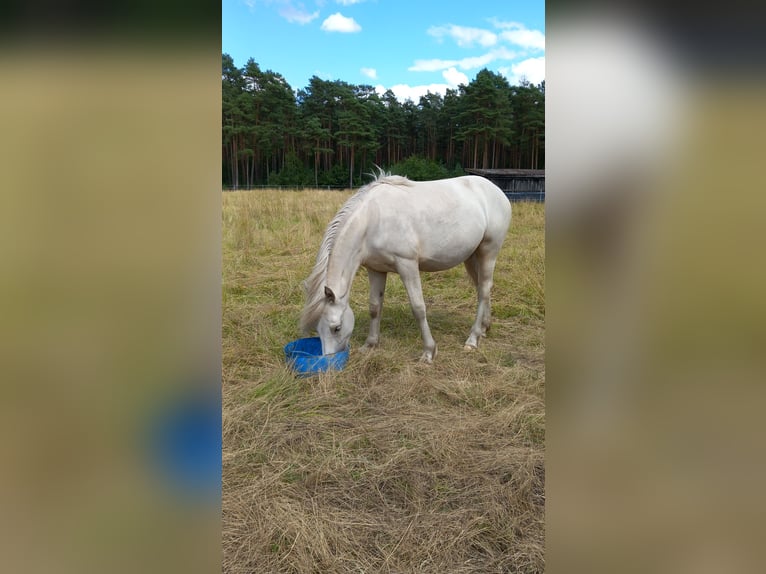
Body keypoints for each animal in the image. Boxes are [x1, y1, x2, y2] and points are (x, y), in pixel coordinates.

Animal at [304, 171, 512, 364]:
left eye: (336, 328)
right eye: (318, 329)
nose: (329, 360)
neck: (373, 219)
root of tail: (496, 191)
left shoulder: (407, 265)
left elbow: (418, 308)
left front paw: (428, 352)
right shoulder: (376, 269)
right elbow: (375, 307)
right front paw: (370, 345)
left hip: (488, 252)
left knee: (484, 289)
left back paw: (473, 339)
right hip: (471, 256)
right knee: (482, 289)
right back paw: (484, 328)